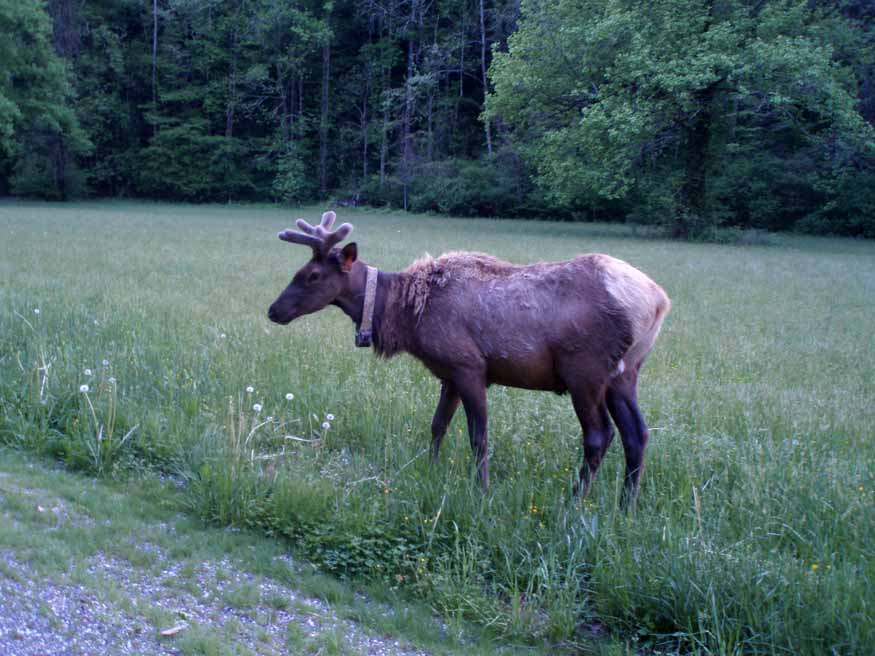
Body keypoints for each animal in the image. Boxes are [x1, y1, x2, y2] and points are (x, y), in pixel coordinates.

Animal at [266, 213, 672, 504]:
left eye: (312, 274)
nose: (273, 310)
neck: (406, 314)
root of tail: (658, 301)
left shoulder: (469, 365)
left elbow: (479, 436)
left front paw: (482, 491)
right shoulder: (447, 373)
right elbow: (437, 425)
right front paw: (430, 470)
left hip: (584, 370)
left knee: (599, 435)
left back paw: (574, 502)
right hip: (624, 375)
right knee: (637, 434)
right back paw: (626, 506)